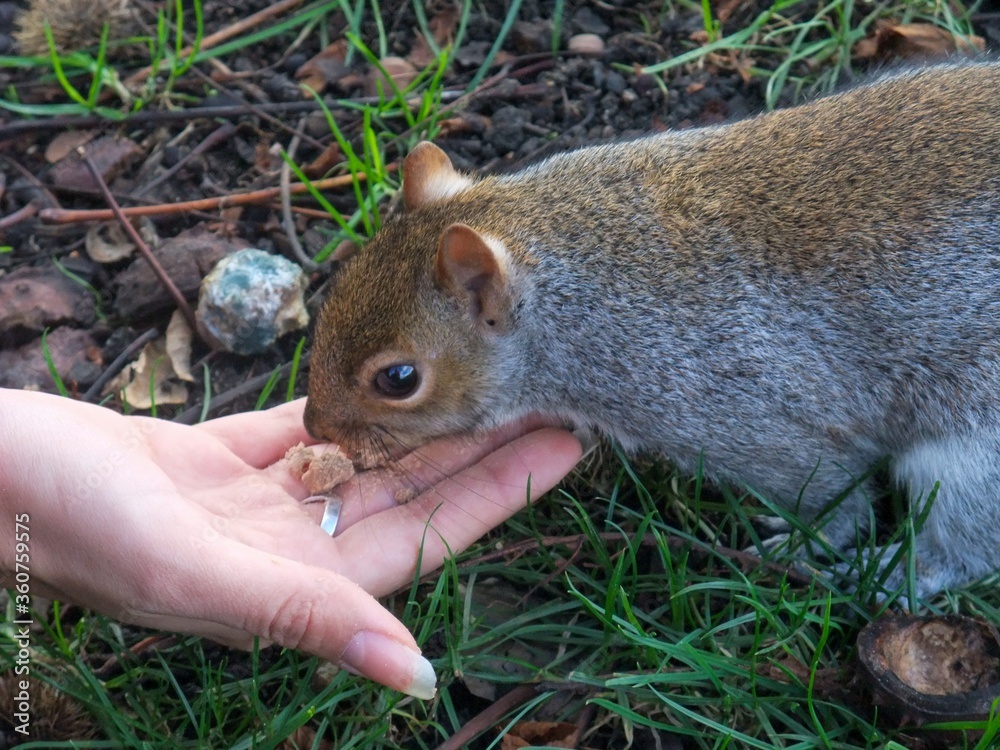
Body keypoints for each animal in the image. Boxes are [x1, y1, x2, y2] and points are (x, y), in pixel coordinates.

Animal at [304, 63, 1000, 604]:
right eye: (336, 290)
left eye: (399, 379)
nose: (315, 427)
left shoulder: (741, 411)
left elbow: (832, 494)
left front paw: (803, 543)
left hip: (976, 452)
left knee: (966, 542)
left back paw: (896, 573)